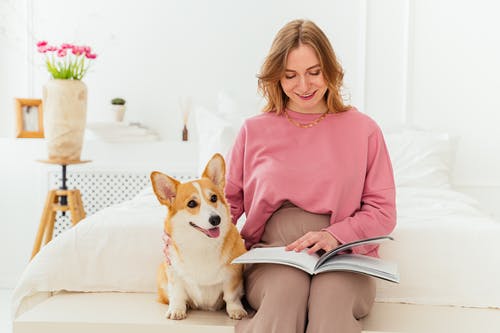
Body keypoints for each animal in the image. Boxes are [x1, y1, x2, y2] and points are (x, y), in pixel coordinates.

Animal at [150, 153, 248, 320]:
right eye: (191, 203)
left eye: (214, 198)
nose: (216, 219)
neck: (201, 243)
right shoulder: (174, 272)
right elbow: (177, 294)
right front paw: (177, 310)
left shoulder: (233, 274)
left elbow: (231, 296)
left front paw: (236, 310)